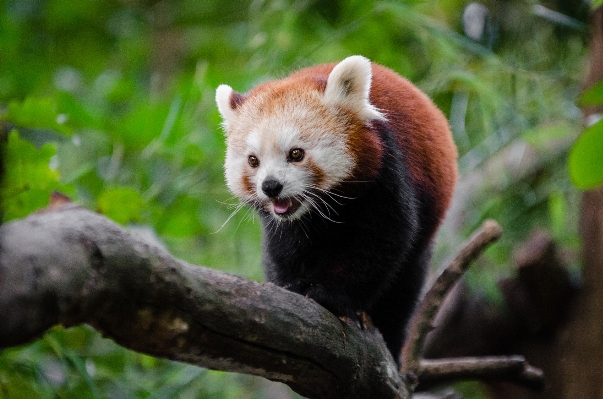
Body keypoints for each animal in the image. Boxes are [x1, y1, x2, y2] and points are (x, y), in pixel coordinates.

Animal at [215, 54, 456, 368]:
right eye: (253, 160)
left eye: (296, 153)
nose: (271, 186)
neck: (316, 211)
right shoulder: (283, 224)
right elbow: (284, 251)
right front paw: (294, 285)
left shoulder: (384, 173)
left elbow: (381, 240)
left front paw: (330, 294)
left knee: (402, 291)